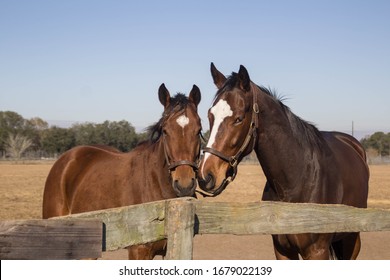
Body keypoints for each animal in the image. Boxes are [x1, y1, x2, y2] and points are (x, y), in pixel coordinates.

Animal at [198, 64, 368, 260]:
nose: (205, 175)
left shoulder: (317, 251)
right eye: (210, 116)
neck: (297, 181)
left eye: (239, 118)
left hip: (350, 240)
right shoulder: (282, 250)